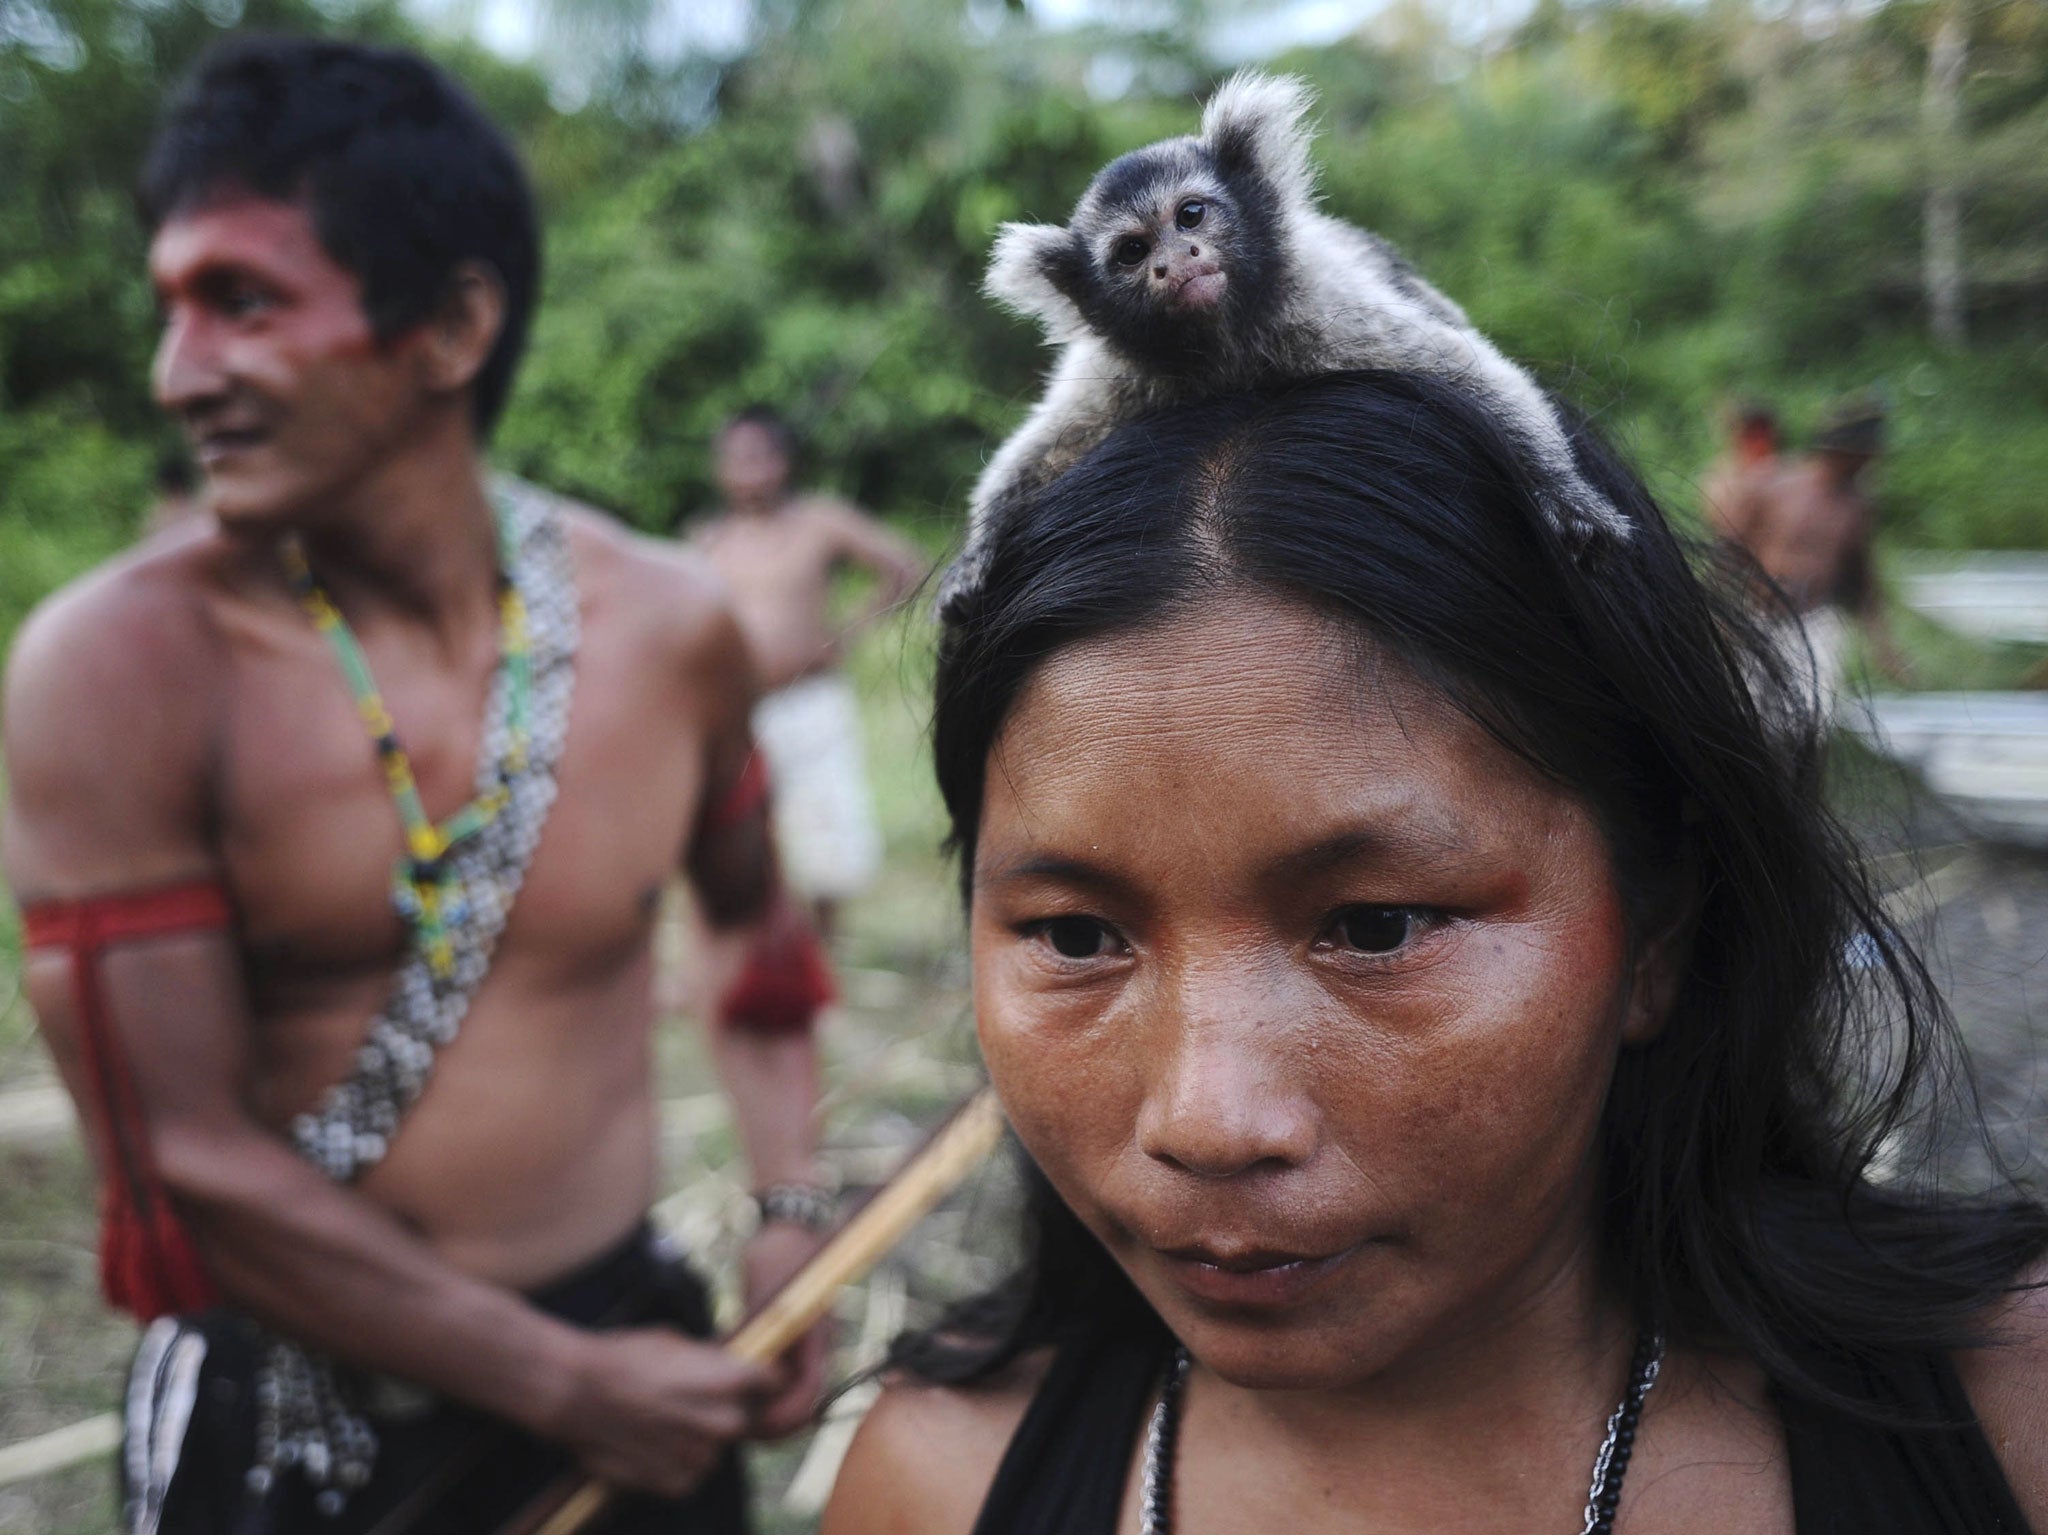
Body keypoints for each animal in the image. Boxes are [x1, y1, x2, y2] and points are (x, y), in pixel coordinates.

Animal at [941, 72, 1628, 610]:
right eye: (1132, 252)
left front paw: (1559, 487)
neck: (1222, 346)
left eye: (1190, 216)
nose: (1174, 263)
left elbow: (1466, 370)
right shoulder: (1124, 371)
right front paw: (976, 551)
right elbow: (1045, 447)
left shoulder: (1319, 315)